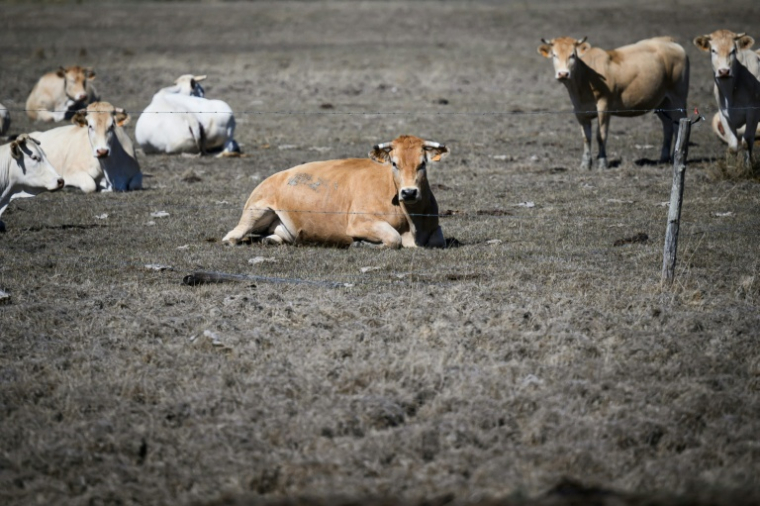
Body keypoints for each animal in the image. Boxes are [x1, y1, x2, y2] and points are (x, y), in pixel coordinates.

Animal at [223, 135, 449, 248]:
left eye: (422, 164)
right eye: (394, 163)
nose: (409, 193)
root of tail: (272, 177)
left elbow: (438, 239)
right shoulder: (359, 222)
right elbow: (393, 239)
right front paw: (361, 244)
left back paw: (270, 240)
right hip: (256, 211)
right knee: (232, 237)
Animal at [538, 36, 690, 169]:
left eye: (573, 55)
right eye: (554, 55)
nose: (563, 74)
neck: (585, 79)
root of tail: (668, 41)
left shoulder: (604, 105)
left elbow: (601, 135)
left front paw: (602, 163)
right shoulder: (579, 110)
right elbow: (586, 137)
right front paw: (585, 164)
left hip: (678, 98)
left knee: (678, 125)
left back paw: (677, 158)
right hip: (662, 102)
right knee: (667, 125)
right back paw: (663, 158)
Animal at [694, 31, 760, 166]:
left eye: (733, 50)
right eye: (713, 50)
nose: (724, 71)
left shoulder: (753, 113)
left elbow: (747, 142)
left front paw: (747, 167)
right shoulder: (724, 115)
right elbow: (733, 146)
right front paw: (732, 167)